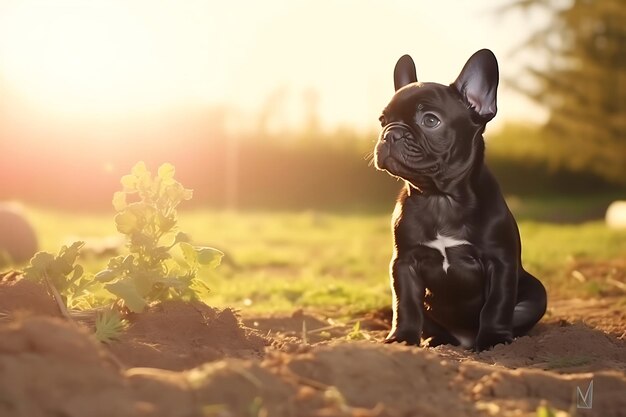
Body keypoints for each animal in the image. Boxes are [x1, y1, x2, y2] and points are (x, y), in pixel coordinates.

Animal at [372, 50, 544, 352]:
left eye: (430, 120)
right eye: (383, 120)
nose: (391, 133)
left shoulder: (500, 263)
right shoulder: (403, 264)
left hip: (537, 294)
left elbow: (496, 305)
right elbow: (405, 305)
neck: (440, 198)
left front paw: (493, 341)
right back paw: (437, 340)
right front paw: (402, 338)